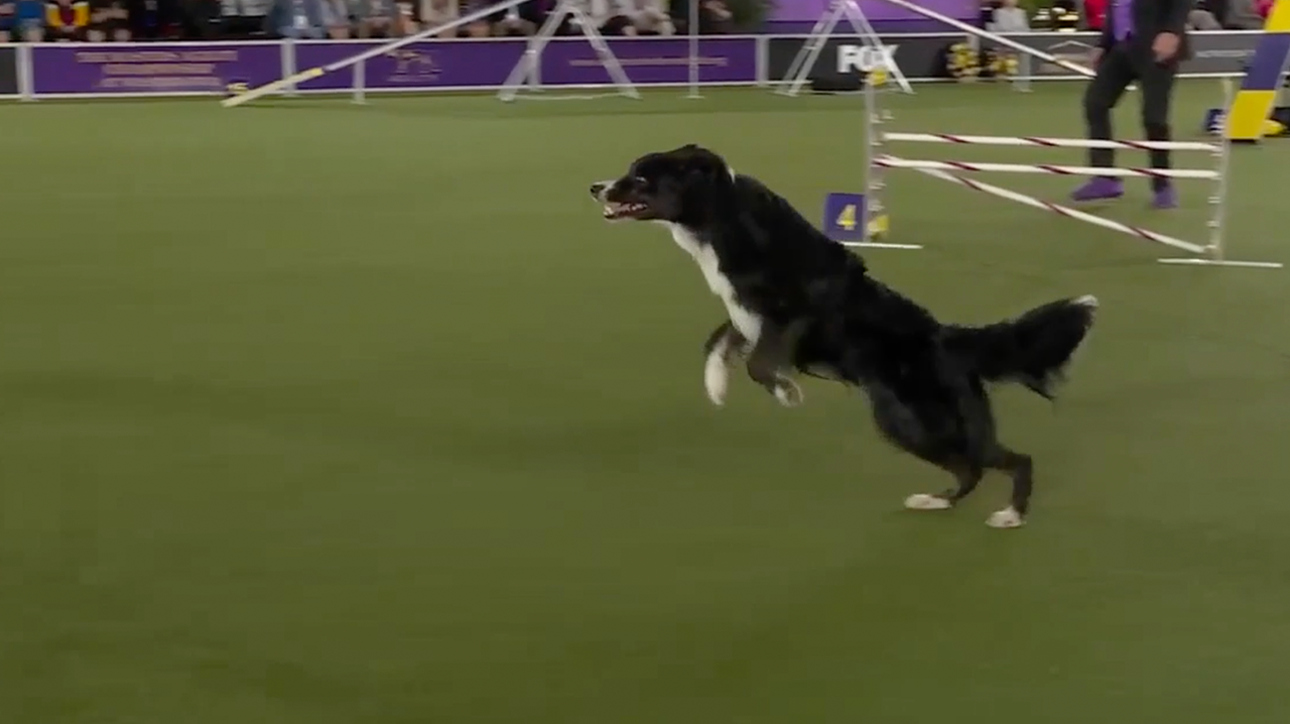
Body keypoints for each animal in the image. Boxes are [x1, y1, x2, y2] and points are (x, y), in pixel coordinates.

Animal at [590, 142, 1093, 523]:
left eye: (640, 178)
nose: (596, 187)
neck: (724, 218)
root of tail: (949, 340)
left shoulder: (795, 314)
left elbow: (759, 363)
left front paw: (787, 392)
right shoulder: (746, 314)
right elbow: (719, 341)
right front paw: (716, 385)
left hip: (917, 421)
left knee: (1005, 460)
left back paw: (1010, 515)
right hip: (906, 423)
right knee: (971, 468)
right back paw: (934, 501)